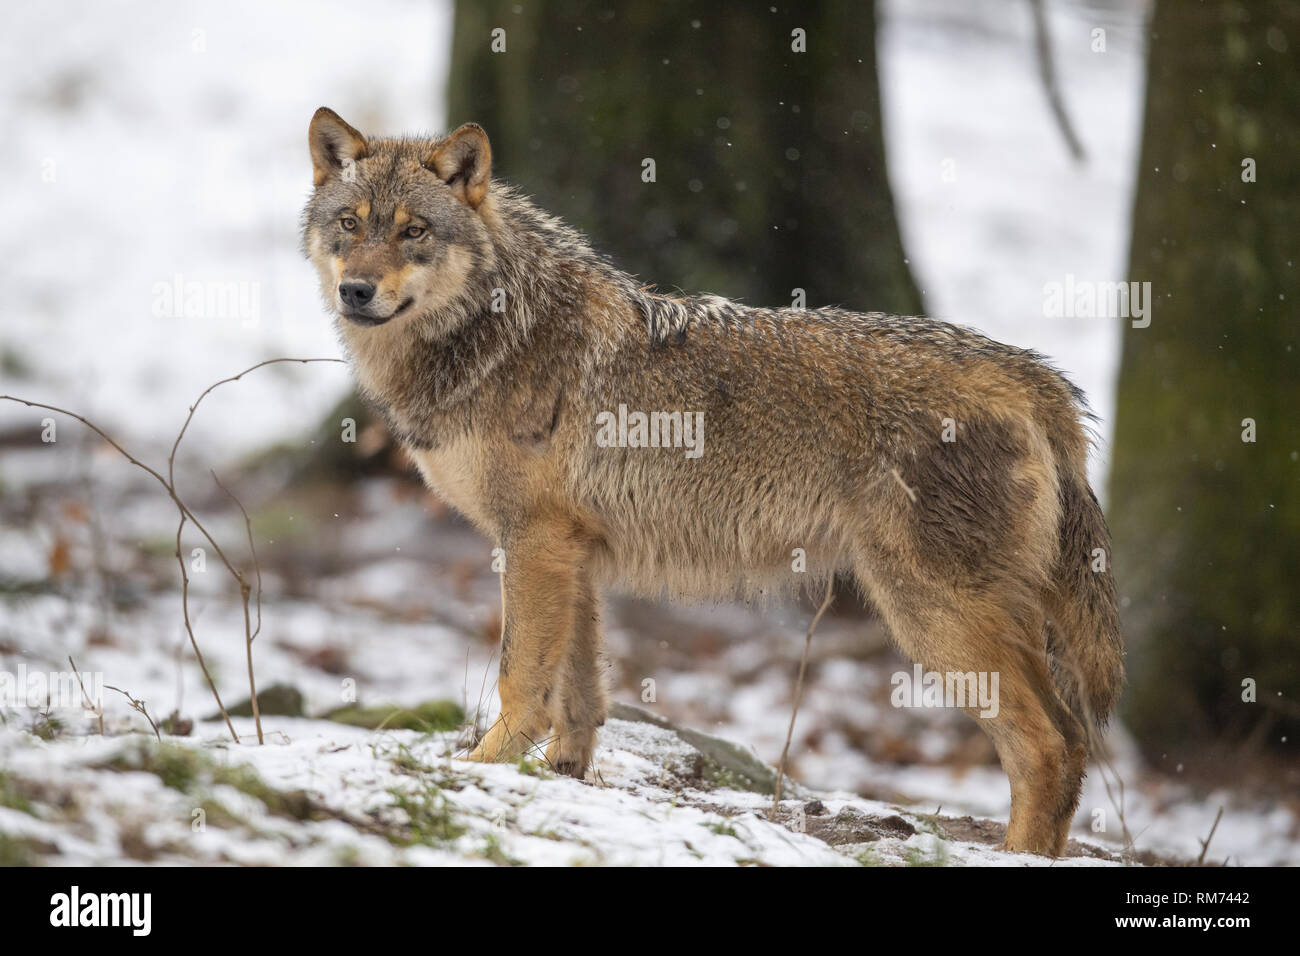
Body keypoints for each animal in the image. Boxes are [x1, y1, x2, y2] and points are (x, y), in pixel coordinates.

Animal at [301, 107, 1124, 856]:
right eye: (349, 224)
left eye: (413, 231)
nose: (357, 292)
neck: (498, 332)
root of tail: (1037, 377)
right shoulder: (572, 553)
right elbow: (580, 696)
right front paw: (564, 780)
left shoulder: (533, 544)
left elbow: (520, 681)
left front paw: (482, 769)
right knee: (1073, 743)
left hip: (930, 617)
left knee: (1047, 747)